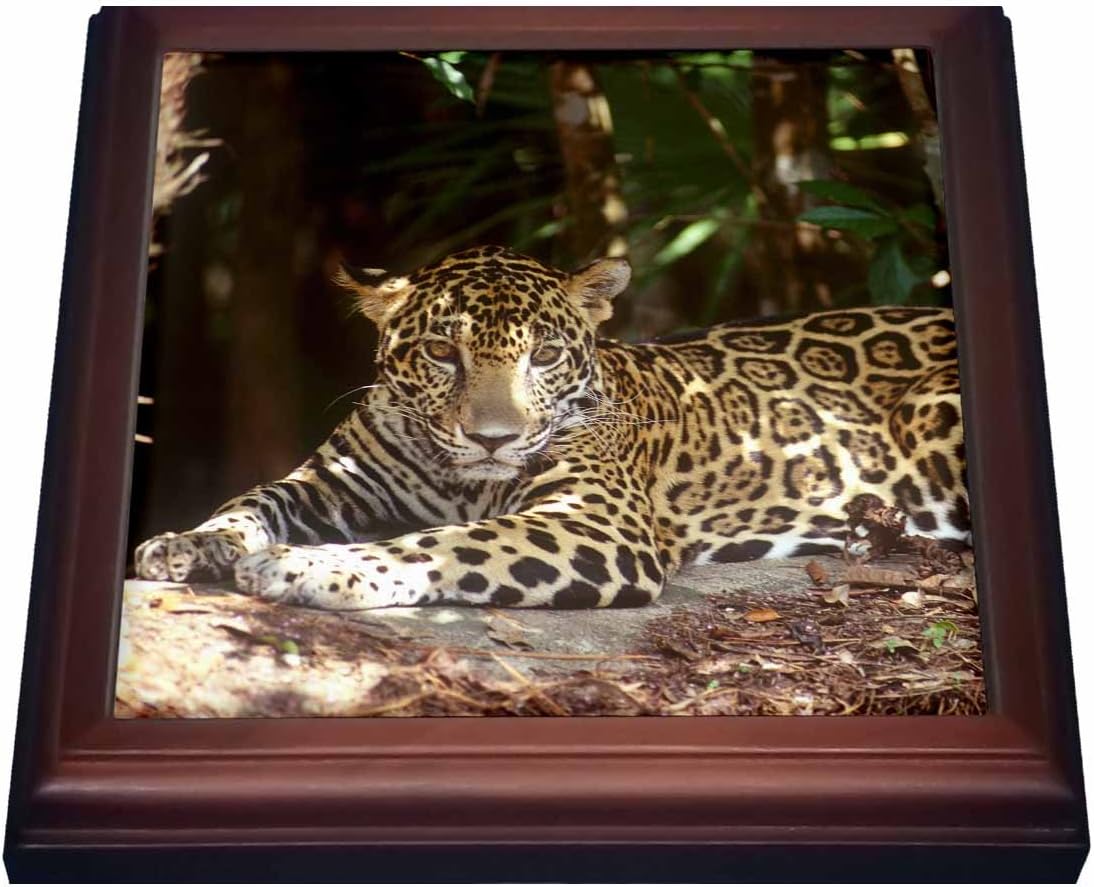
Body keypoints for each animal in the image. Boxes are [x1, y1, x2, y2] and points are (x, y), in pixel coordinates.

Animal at [134, 245, 969, 610]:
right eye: (441, 351)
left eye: (544, 354)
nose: (493, 438)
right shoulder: (330, 482)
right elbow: (251, 502)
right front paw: (187, 543)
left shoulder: (594, 522)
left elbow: (442, 545)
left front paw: (307, 567)